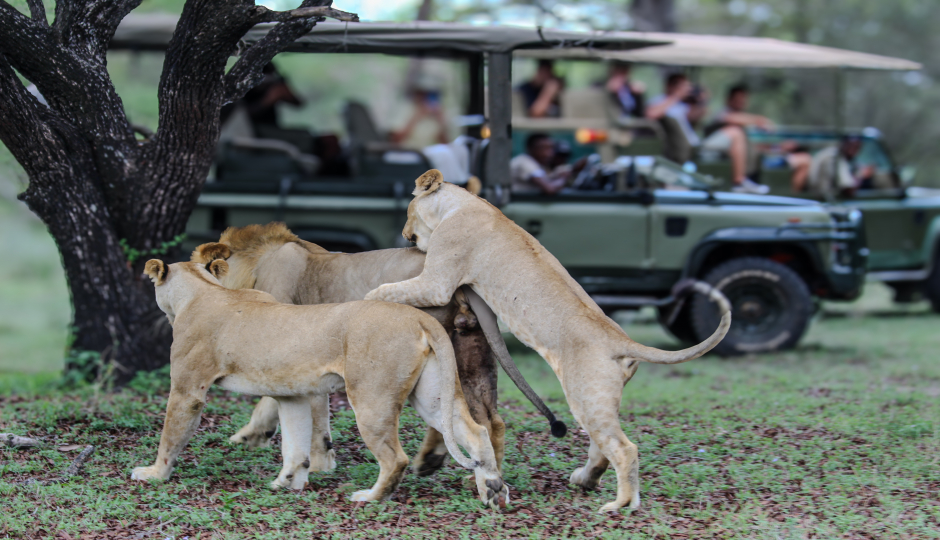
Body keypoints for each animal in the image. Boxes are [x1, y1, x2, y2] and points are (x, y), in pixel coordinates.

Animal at [134, 260, 506, 508]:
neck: (204, 289)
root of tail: (419, 316)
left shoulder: (187, 391)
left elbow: (171, 436)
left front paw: (153, 474)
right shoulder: (293, 396)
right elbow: (295, 445)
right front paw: (289, 482)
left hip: (370, 400)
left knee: (394, 458)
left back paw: (370, 497)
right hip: (430, 396)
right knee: (475, 432)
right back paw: (492, 490)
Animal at [188, 221, 560, 474]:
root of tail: (460, 279)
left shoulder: (288, 343)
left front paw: (254, 436)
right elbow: (318, 406)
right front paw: (323, 458)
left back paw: (434, 461)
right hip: (470, 351)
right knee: (488, 418)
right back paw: (472, 471)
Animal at [368, 171, 736, 512]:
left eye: (408, 210)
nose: (404, 235)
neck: (461, 205)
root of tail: (622, 340)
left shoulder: (437, 283)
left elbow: (387, 289)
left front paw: (367, 301)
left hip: (586, 396)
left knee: (623, 448)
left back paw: (620, 504)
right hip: (598, 400)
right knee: (602, 446)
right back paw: (585, 480)